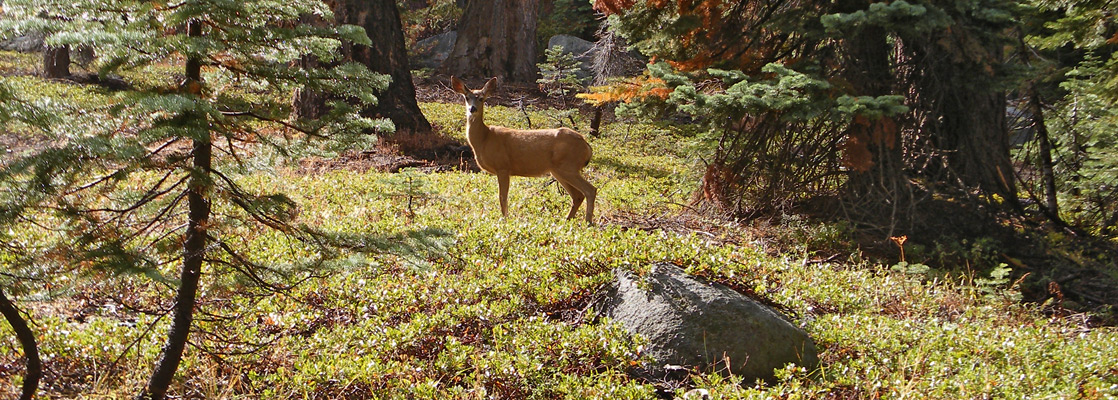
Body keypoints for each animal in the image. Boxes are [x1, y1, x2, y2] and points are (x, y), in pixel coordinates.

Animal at [451, 76, 599, 223]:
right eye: (467, 97)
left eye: (481, 98)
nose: (472, 109)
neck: (484, 139)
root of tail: (587, 146)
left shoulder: (503, 166)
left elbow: (502, 197)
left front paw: (504, 219)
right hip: (558, 170)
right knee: (577, 195)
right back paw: (567, 220)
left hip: (568, 166)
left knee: (590, 190)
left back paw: (588, 222)